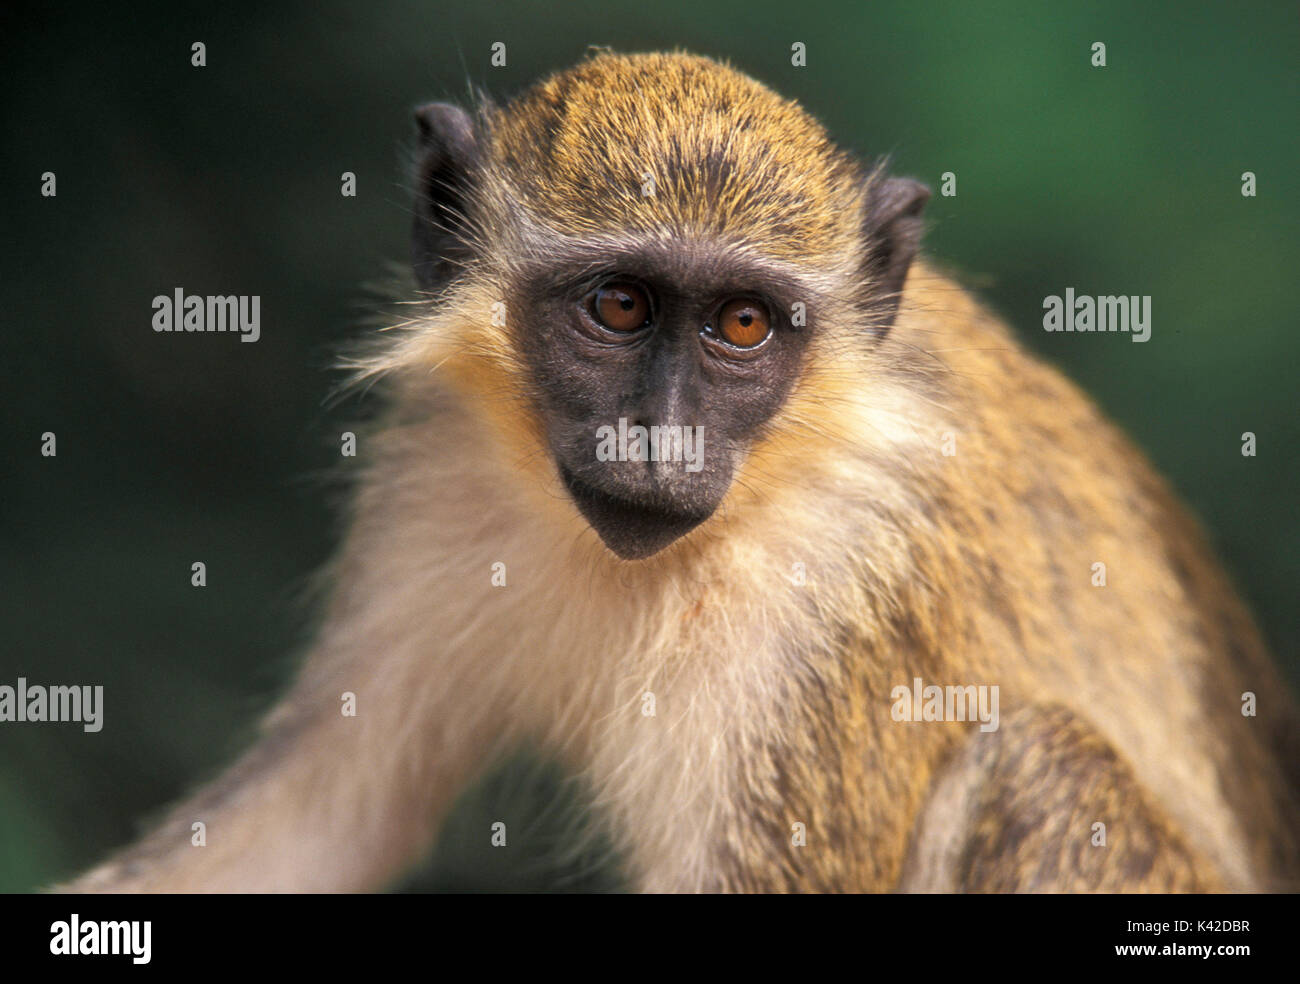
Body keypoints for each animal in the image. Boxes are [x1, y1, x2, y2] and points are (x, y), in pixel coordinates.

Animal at [64, 51, 1299, 893]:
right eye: (619, 306)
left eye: (743, 325)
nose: (660, 440)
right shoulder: (433, 472)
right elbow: (329, 811)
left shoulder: (838, 601)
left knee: (1037, 769)